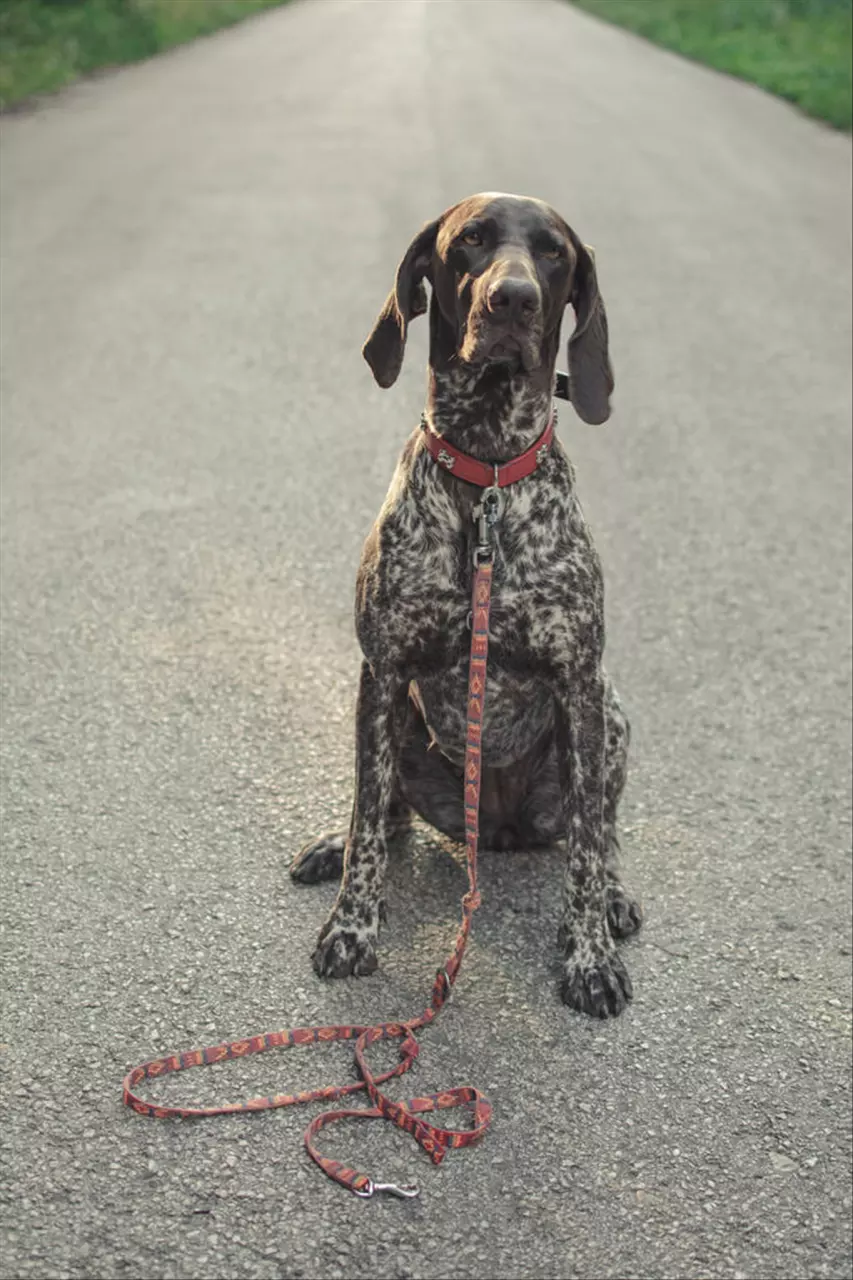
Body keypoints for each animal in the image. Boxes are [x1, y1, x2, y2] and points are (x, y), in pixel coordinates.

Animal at [289, 192, 640, 1018]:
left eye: (553, 254)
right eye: (471, 241)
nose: (512, 299)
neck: (486, 472)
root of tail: (499, 829)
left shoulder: (580, 684)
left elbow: (585, 849)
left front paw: (587, 955)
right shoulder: (381, 672)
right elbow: (367, 823)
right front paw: (351, 926)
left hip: (612, 717)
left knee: (600, 829)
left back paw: (612, 897)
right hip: (395, 723)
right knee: (382, 815)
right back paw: (334, 846)